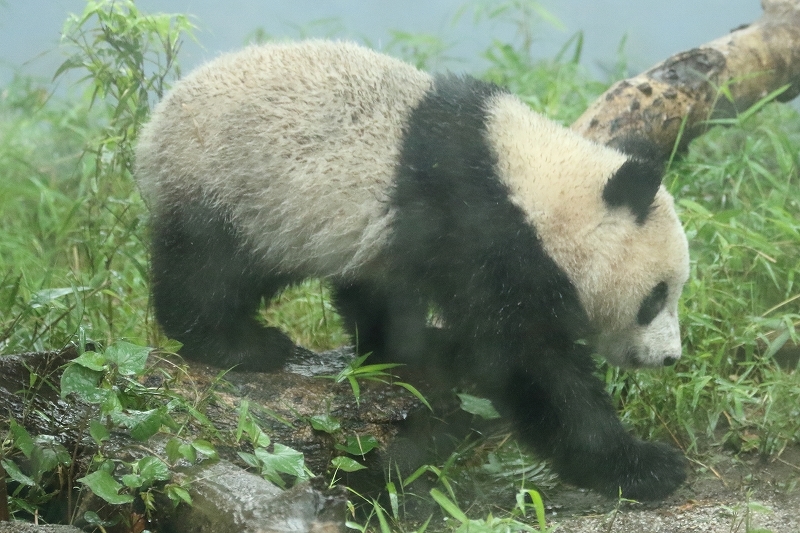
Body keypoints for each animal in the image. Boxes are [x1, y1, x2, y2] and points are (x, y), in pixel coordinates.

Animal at [134, 40, 692, 498]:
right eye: (655, 297)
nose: (669, 358)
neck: (538, 186)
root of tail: (151, 132)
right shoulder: (480, 223)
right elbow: (531, 362)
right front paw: (645, 466)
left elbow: (386, 297)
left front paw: (415, 349)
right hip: (232, 187)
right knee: (208, 272)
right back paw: (243, 344)